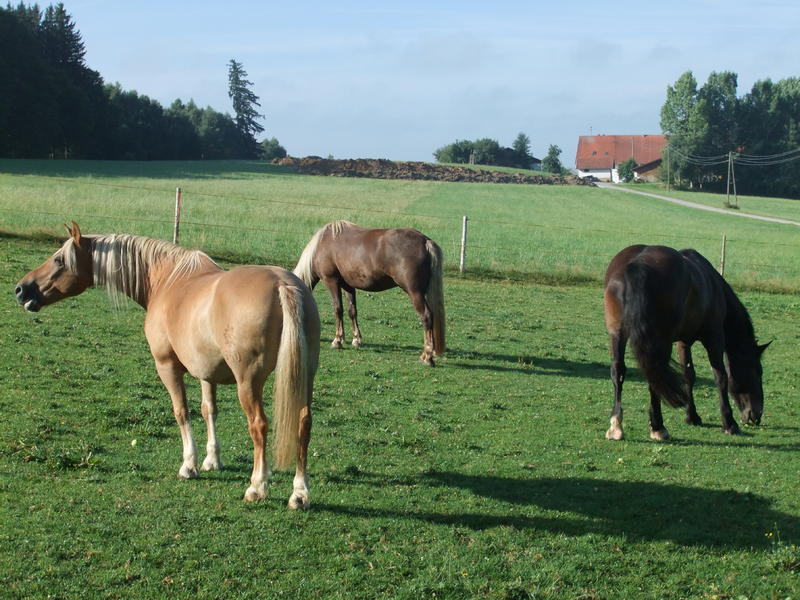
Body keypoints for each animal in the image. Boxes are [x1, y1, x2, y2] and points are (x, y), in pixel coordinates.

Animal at [15, 223, 322, 508]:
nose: (21, 289)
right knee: (303, 423)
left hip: (249, 382)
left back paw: (257, 487)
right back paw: (299, 493)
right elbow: (209, 410)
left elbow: (181, 412)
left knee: (258, 425)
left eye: (59, 260)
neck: (167, 280)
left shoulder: (167, 367)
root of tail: (283, 284)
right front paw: (212, 459)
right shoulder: (206, 372)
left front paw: (189, 465)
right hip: (304, 377)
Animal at [292, 221, 444, 366]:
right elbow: (352, 311)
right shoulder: (348, 286)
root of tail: (425, 241)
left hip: (415, 292)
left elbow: (338, 310)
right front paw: (356, 340)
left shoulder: (331, 281)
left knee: (426, 317)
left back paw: (427, 357)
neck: (322, 244)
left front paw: (337, 341)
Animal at [604, 244, 764, 440]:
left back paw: (616, 426)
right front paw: (729, 422)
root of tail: (636, 264)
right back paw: (658, 427)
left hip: (617, 333)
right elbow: (720, 376)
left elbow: (689, 374)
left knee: (620, 370)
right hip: (659, 341)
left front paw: (692, 416)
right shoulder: (715, 337)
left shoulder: (683, 342)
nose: (756, 415)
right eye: (758, 372)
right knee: (655, 375)